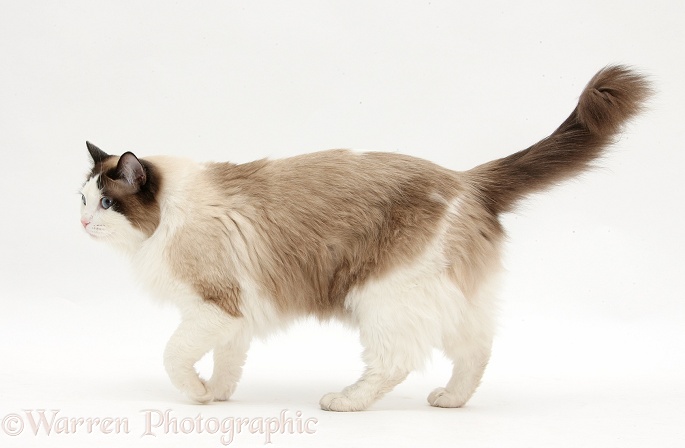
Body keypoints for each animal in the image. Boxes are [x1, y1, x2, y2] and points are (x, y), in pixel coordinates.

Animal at [79, 65, 648, 412]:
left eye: (105, 204)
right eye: (81, 200)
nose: (81, 225)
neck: (167, 217)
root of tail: (466, 179)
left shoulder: (213, 305)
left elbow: (174, 357)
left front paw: (196, 395)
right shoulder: (234, 312)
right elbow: (228, 362)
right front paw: (216, 396)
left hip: (384, 297)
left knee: (396, 362)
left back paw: (344, 401)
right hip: (449, 296)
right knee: (477, 349)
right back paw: (451, 400)